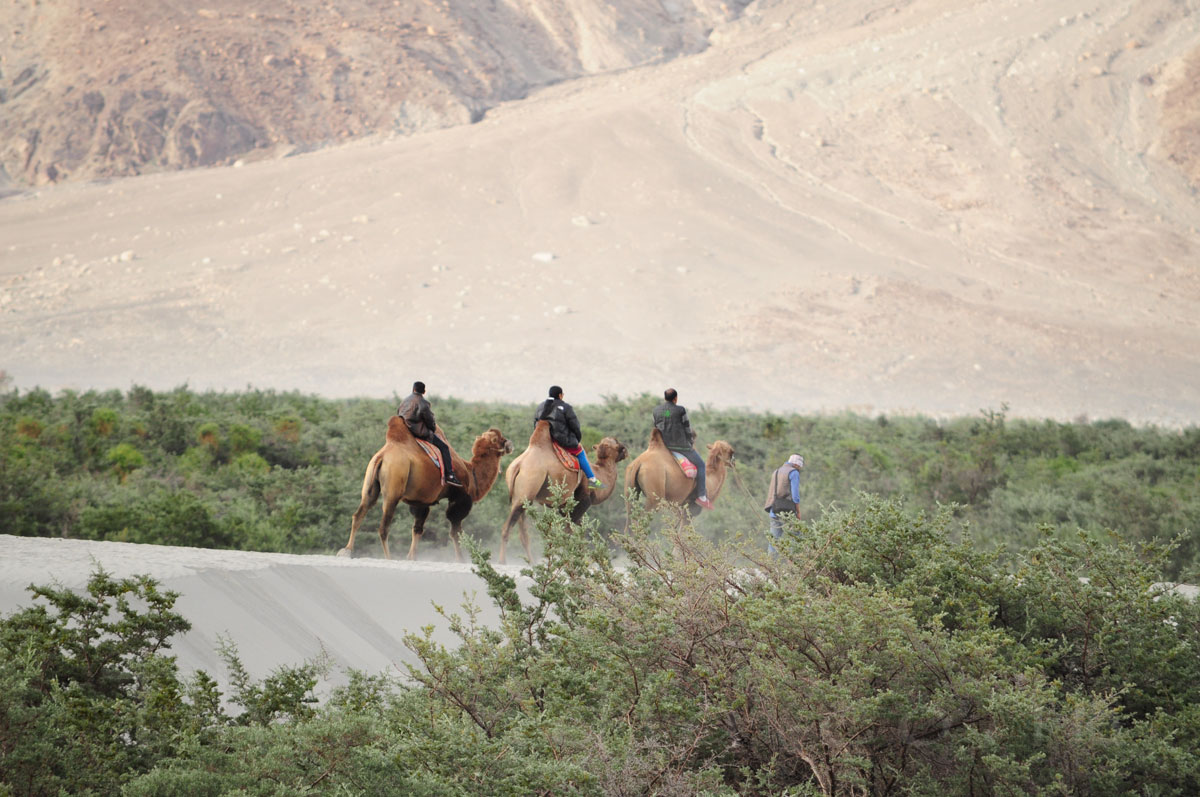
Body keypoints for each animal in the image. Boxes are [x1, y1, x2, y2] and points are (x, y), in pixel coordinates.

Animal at [338, 417, 511, 559]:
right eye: (497, 439)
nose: (509, 443)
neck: (471, 473)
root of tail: (382, 457)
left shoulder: (421, 501)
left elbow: (417, 529)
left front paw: (411, 557)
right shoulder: (460, 498)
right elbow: (455, 531)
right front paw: (462, 559)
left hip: (370, 485)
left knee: (359, 513)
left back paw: (346, 551)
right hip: (393, 491)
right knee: (383, 527)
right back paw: (389, 557)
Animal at [496, 420, 628, 564]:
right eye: (618, 444)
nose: (626, 450)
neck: (599, 472)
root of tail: (518, 466)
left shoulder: (564, 506)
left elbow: (578, 531)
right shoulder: (584, 499)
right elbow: (569, 530)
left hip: (522, 498)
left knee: (523, 533)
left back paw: (531, 562)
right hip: (525, 492)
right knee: (506, 528)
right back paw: (502, 561)